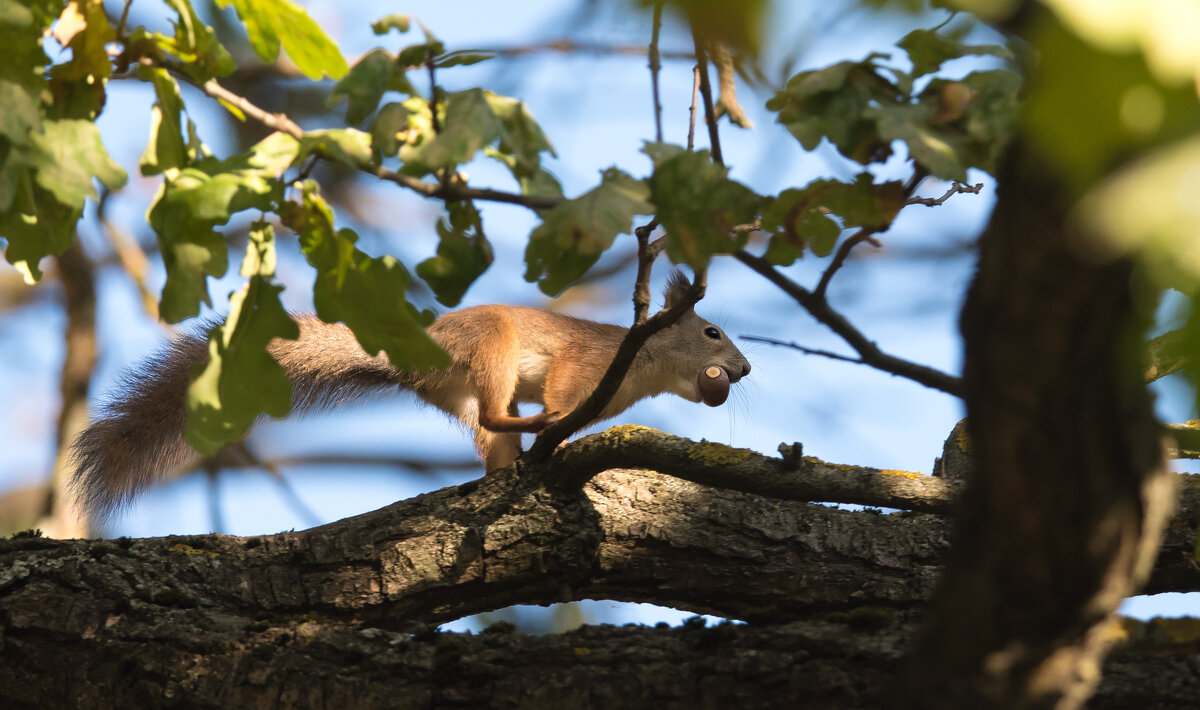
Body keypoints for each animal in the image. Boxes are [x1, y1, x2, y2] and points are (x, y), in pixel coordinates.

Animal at [68, 274, 748, 518]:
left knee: (488, 432)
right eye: (711, 332)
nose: (741, 369)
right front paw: (555, 417)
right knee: (496, 411)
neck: (644, 366)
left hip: (460, 393)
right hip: (492, 348)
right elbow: (563, 389)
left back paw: (508, 466)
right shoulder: (588, 364)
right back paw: (532, 428)